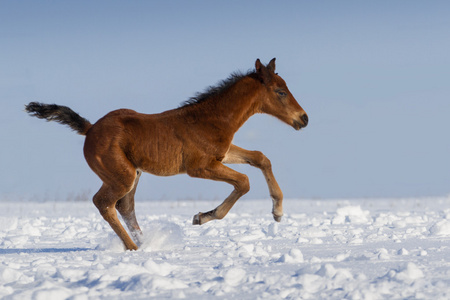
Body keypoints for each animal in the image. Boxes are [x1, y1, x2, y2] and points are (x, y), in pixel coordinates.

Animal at [25, 57, 310, 250]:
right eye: (280, 92)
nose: (304, 119)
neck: (211, 119)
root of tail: (90, 128)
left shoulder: (222, 154)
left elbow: (261, 158)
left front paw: (278, 211)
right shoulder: (200, 167)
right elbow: (244, 182)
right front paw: (202, 217)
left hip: (133, 174)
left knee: (125, 206)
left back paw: (144, 243)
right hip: (122, 175)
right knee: (104, 203)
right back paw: (133, 247)